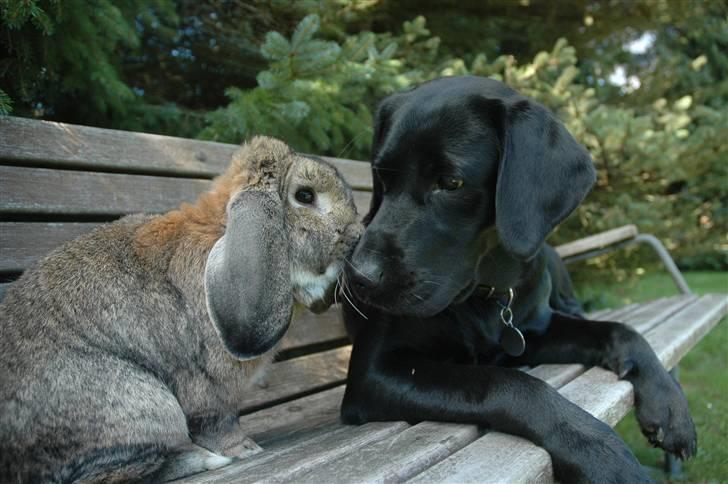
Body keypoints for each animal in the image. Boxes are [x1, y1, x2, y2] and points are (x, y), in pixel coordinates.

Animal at [0, 137, 362, 484]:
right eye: (305, 196)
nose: (358, 234)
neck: (222, 231)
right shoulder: (212, 388)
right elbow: (218, 422)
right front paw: (244, 449)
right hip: (146, 406)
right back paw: (206, 460)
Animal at [344, 77, 696, 482]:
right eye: (380, 176)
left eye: (450, 182)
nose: (358, 277)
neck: (488, 295)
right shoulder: (374, 372)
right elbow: (506, 382)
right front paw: (599, 451)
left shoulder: (534, 332)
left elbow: (619, 329)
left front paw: (669, 403)